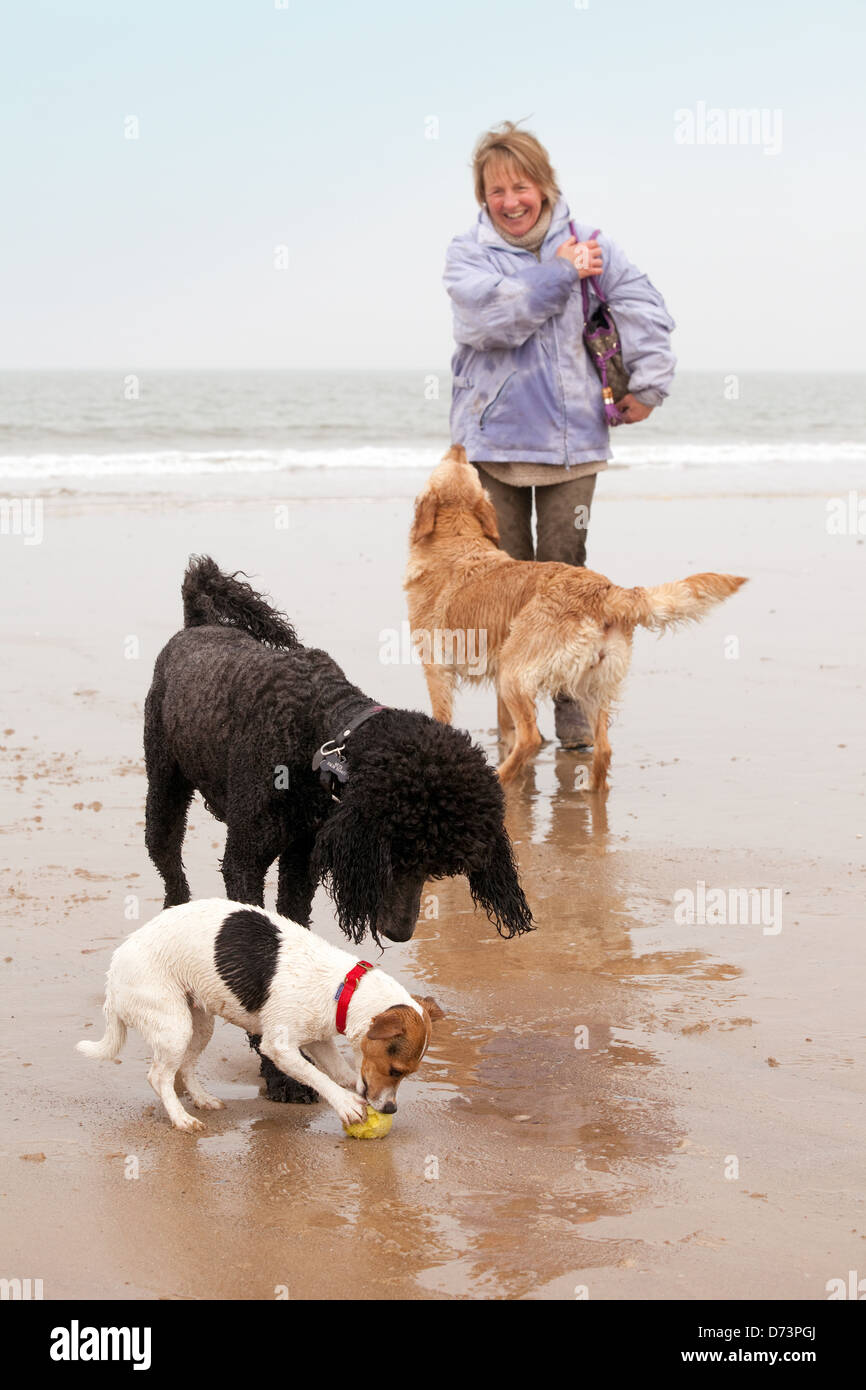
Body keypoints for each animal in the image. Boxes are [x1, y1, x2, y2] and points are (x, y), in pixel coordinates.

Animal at [145, 558, 530, 1100]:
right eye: (398, 856)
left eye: (435, 868)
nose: (400, 932)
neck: (321, 737)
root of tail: (197, 623)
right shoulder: (244, 860)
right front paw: (280, 1073)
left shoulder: (301, 861)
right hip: (162, 792)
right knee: (170, 871)